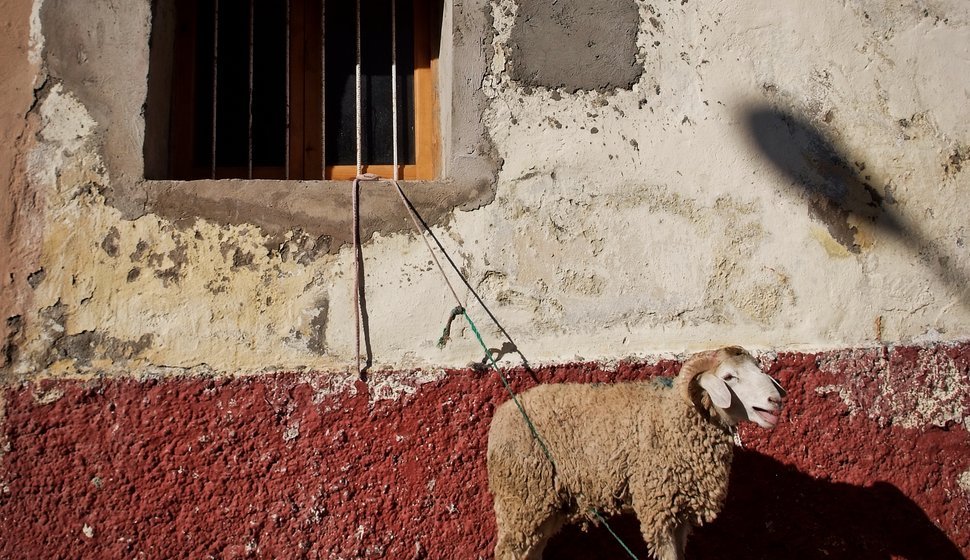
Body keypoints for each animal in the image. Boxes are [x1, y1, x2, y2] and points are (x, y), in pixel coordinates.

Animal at [486, 346, 786, 560]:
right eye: (729, 377)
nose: (775, 400)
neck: (672, 416)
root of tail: (501, 414)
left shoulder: (681, 510)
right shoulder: (658, 505)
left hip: (543, 505)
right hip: (521, 498)